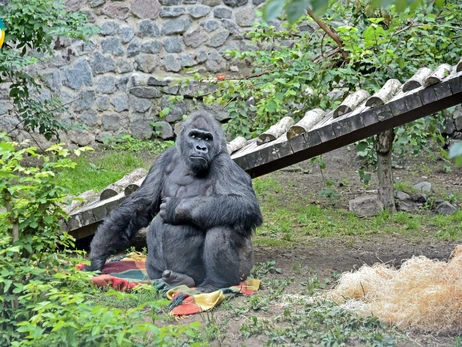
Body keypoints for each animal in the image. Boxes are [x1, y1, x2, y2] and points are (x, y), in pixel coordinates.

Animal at [84, 110, 262, 292]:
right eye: (194, 136)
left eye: (207, 138)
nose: (201, 148)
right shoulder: (164, 159)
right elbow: (140, 206)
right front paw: (97, 256)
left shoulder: (224, 163)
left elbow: (245, 204)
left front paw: (174, 207)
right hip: (157, 271)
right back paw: (178, 280)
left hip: (243, 270)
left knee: (223, 224)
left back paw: (216, 283)